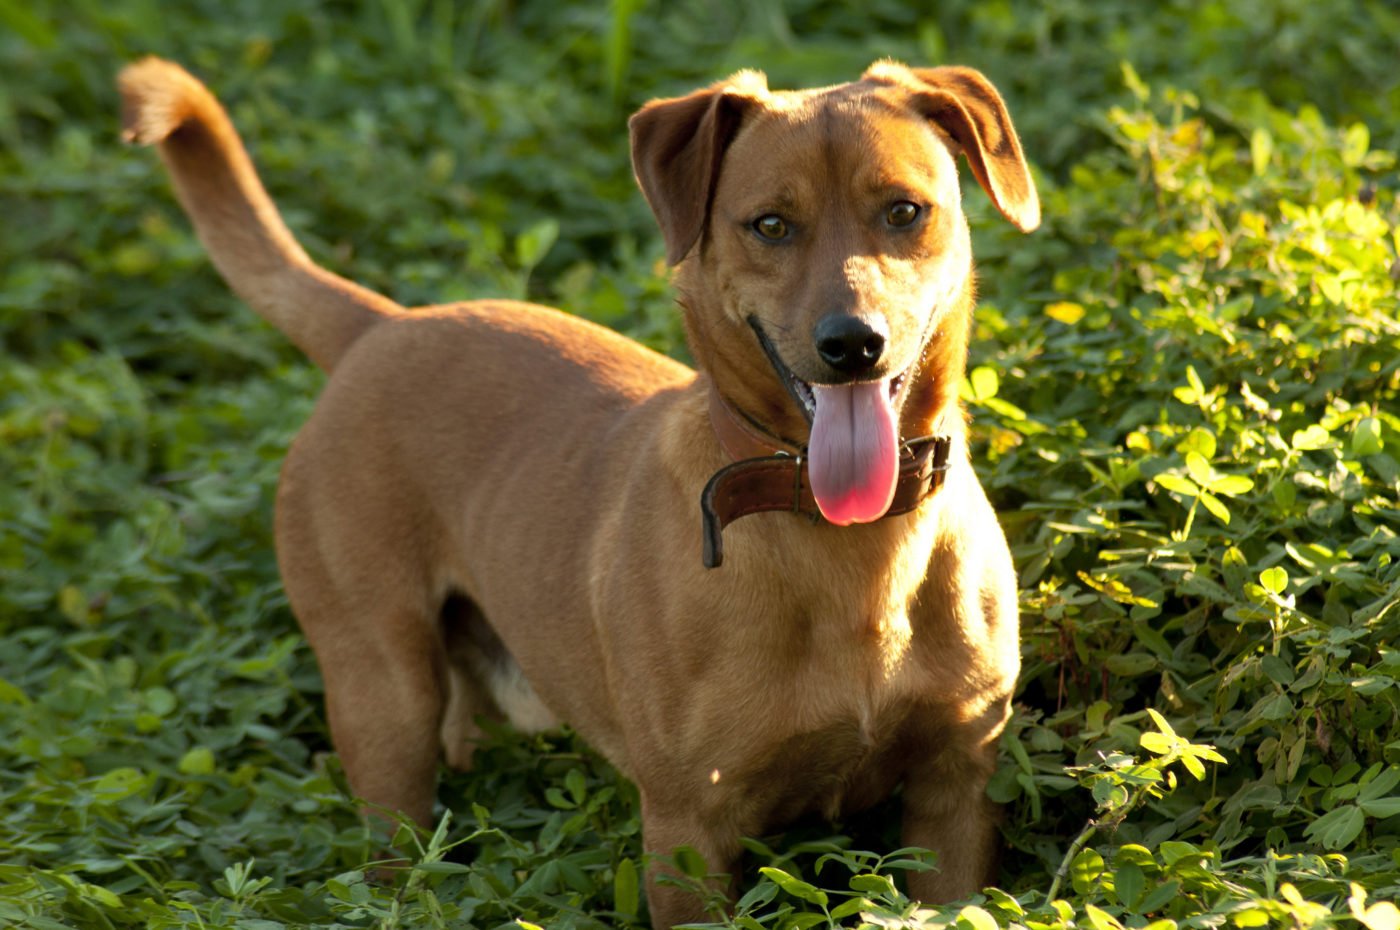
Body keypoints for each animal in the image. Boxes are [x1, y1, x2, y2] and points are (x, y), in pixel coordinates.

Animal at [120, 56, 1036, 924]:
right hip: (383, 698)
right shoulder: (689, 831)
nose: (854, 343)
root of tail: (381, 327)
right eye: (771, 225)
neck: (842, 537)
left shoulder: (956, 790)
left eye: (904, 212)